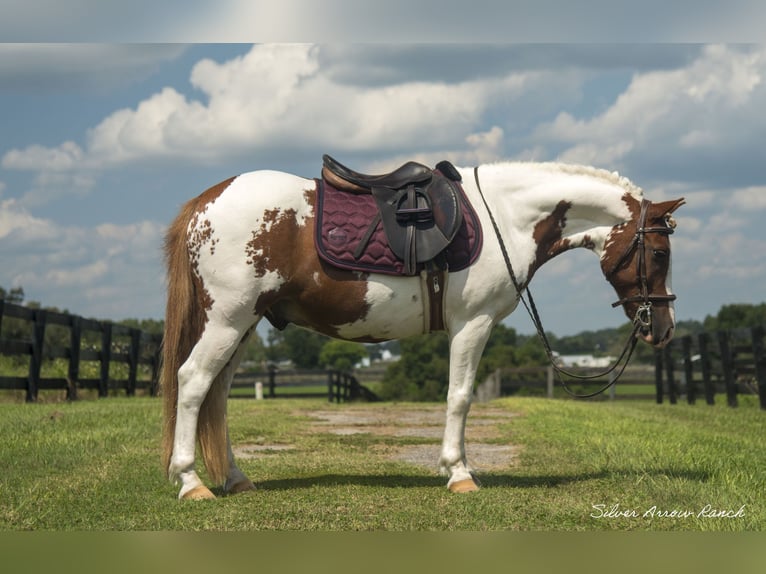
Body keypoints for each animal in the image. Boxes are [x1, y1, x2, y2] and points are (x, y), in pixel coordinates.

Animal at [160, 158, 684, 500]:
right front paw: (460, 474)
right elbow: (459, 397)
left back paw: (234, 478)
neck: (505, 218)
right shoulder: (472, 324)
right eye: (660, 253)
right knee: (193, 383)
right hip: (228, 320)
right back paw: (191, 483)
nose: (662, 328)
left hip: (243, 326)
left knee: (218, 393)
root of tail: (206, 201)